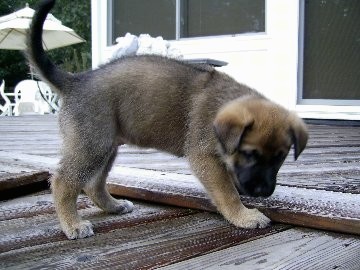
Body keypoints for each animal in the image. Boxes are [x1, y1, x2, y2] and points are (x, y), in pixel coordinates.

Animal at [28, 0, 310, 240]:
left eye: (281, 157)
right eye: (250, 154)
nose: (263, 192)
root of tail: (75, 81)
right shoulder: (204, 158)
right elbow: (226, 192)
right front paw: (243, 215)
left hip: (105, 147)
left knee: (93, 183)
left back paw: (113, 206)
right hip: (92, 144)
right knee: (64, 182)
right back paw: (72, 224)